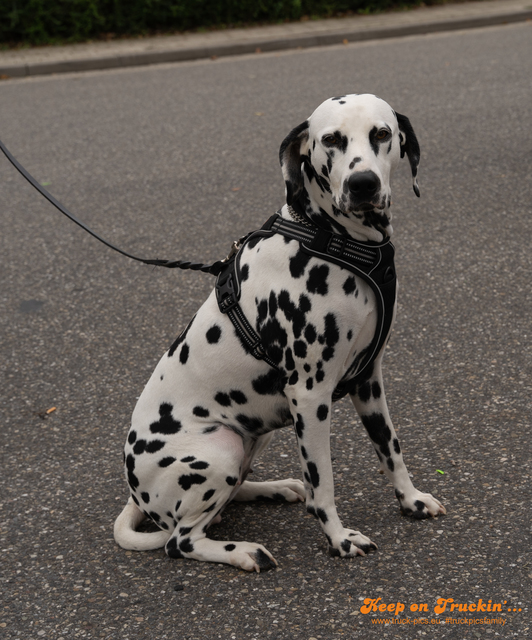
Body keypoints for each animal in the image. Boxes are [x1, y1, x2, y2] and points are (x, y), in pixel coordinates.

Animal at [115, 92, 444, 572]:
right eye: (331, 139)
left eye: (382, 133)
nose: (362, 183)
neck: (331, 239)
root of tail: (135, 494)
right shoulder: (310, 395)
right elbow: (323, 483)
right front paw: (339, 539)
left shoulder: (369, 380)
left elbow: (392, 449)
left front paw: (411, 499)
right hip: (219, 451)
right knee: (183, 539)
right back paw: (242, 551)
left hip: (254, 434)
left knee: (229, 498)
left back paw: (273, 489)